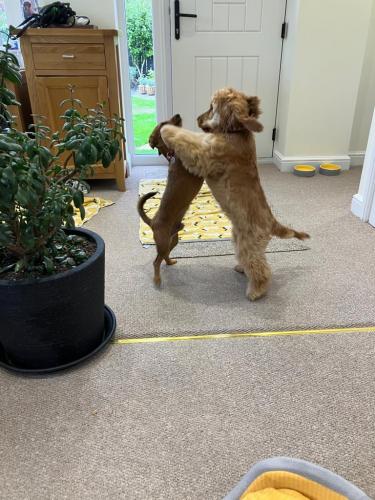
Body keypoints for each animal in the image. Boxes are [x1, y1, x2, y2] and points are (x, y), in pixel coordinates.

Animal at [137, 114, 203, 286]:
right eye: (163, 123)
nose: (178, 115)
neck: (173, 153)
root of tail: (152, 222)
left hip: (172, 241)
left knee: (164, 257)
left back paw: (170, 262)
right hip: (163, 243)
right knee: (156, 262)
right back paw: (157, 279)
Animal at [162, 87, 312, 300]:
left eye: (211, 107)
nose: (198, 119)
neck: (235, 131)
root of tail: (273, 223)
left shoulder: (205, 154)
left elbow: (186, 138)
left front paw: (166, 129)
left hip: (249, 244)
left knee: (261, 269)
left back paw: (256, 291)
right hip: (240, 237)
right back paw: (241, 269)